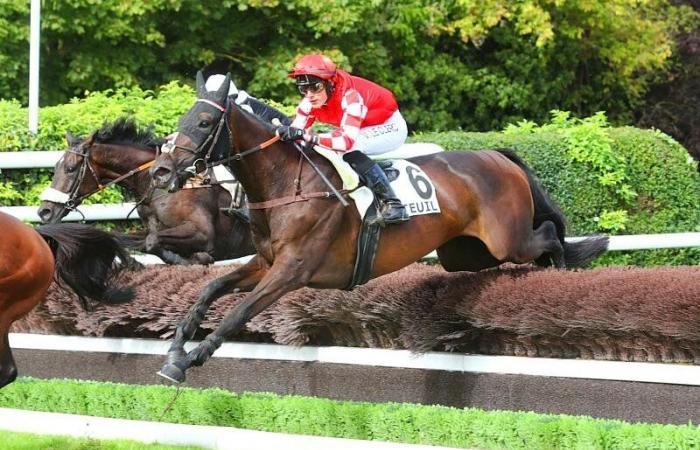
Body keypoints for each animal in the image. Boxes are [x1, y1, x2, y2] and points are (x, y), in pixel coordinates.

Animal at [37, 118, 256, 266]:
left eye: (70, 168)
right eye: (56, 167)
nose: (44, 211)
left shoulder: (203, 232)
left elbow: (151, 242)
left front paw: (195, 258)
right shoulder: (151, 228)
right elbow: (134, 240)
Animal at [149, 73, 608, 384]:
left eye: (204, 122)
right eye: (184, 117)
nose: (160, 171)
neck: (286, 182)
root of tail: (496, 154)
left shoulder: (291, 270)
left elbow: (239, 312)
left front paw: (189, 361)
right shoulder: (265, 263)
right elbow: (211, 289)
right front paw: (174, 348)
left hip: (506, 240)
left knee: (548, 236)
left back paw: (560, 273)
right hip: (465, 253)